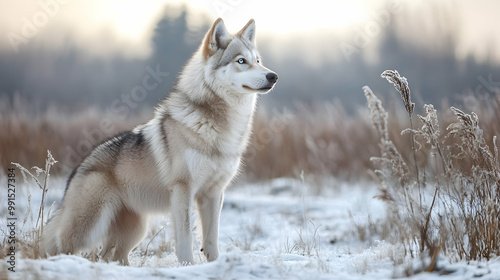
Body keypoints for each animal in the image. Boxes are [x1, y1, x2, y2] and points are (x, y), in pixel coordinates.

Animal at [42, 18, 278, 266]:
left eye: (258, 61)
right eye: (241, 61)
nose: (273, 76)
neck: (221, 126)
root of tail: (77, 169)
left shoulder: (213, 193)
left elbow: (211, 238)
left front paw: (214, 264)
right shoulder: (183, 190)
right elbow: (186, 236)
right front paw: (187, 266)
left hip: (135, 231)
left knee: (110, 256)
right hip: (90, 229)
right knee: (62, 245)